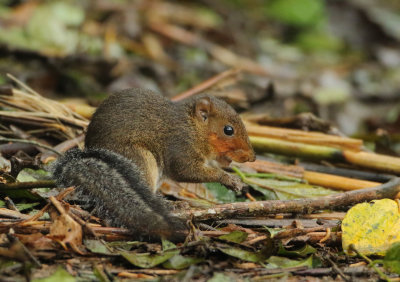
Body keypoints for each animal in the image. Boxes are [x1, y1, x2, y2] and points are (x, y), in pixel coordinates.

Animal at [50, 87, 256, 241]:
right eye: (228, 130)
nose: (252, 157)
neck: (193, 128)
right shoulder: (180, 147)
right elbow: (184, 171)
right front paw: (229, 179)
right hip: (141, 160)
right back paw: (171, 206)